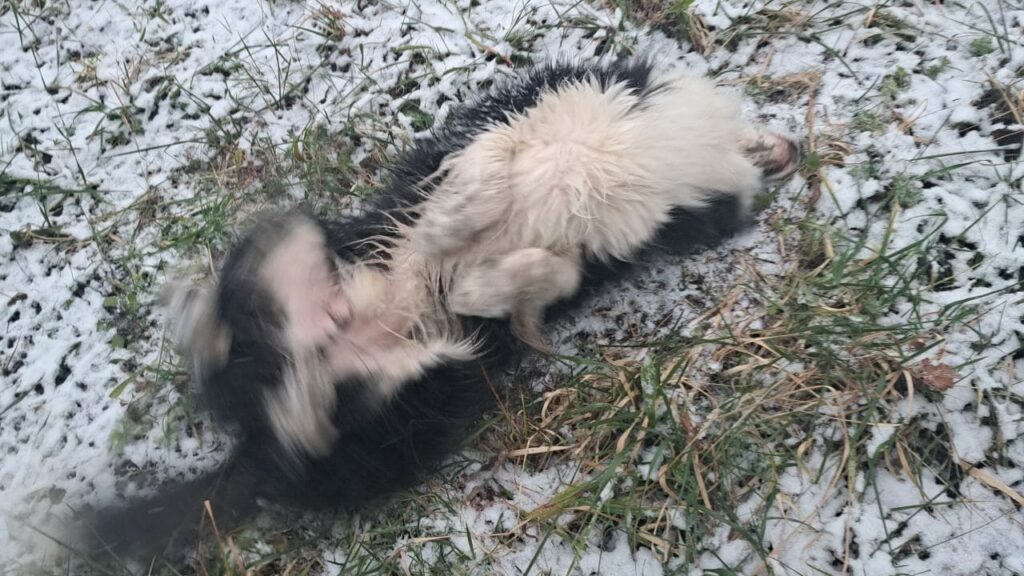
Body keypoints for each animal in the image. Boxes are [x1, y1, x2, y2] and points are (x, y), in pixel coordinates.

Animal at [79, 59, 798, 565]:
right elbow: (486, 171)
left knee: (311, 422)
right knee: (236, 348)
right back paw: (202, 317)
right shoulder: (518, 118)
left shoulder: (624, 233)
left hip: (427, 388)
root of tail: (259, 443)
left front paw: (500, 291)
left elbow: (539, 274)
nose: (791, 148)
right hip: (291, 234)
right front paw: (447, 231)